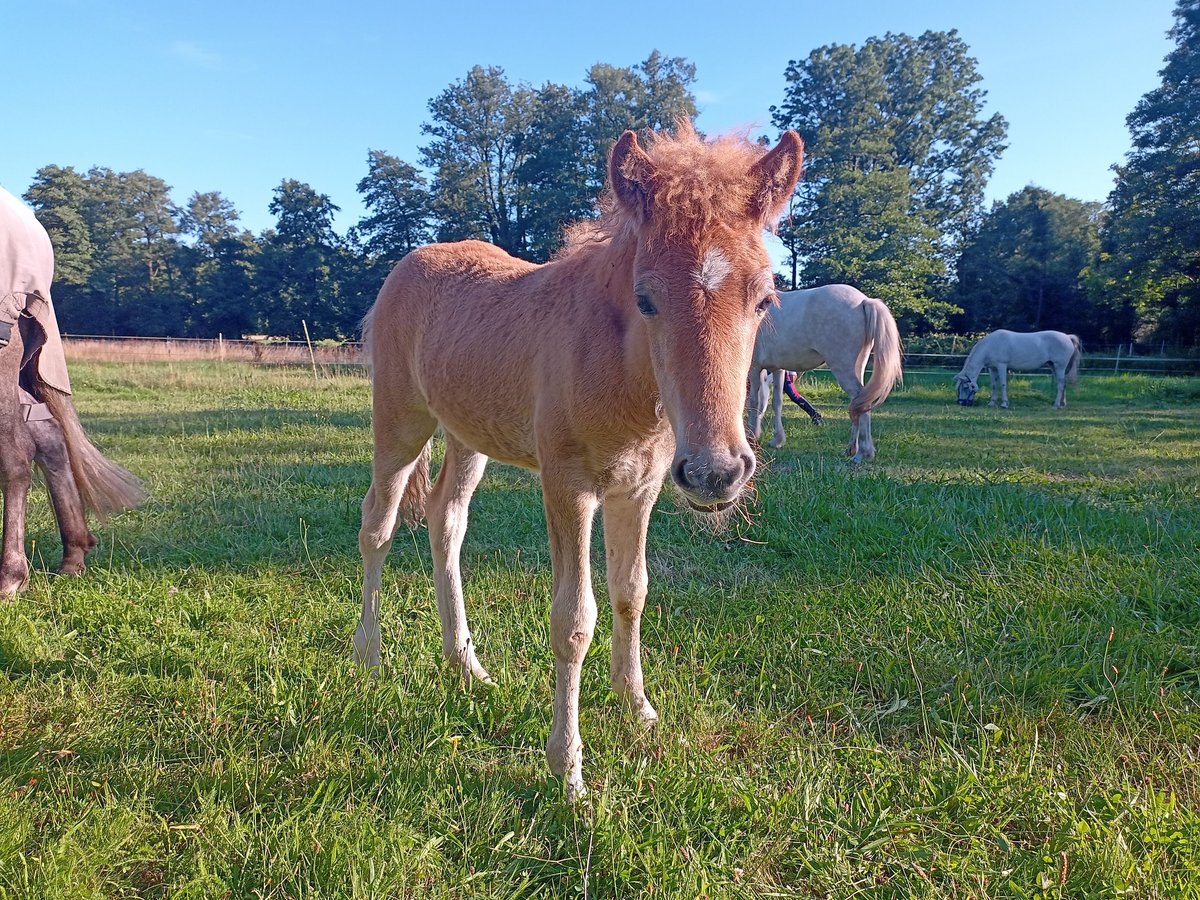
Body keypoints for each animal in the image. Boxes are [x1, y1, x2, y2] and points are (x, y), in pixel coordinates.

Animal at [355, 123, 806, 801]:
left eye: (765, 300)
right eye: (646, 298)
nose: (715, 473)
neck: (619, 368)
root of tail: (407, 264)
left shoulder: (638, 489)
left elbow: (631, 592)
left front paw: (639, 709)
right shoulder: (569, 488)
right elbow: (574, 619)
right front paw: (568, 772)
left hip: (469, 436)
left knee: (445, 520)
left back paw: (467, 665)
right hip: (401, 423)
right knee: (377, 525)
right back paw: (369, 657)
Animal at [744, 283, 902, 465]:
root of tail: (864, 301)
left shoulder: (754, 368)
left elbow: (754, 402)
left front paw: (752, 438)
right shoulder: (777, 369)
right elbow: (776, 403)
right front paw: (776, 440)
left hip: (843, 369)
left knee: (860, 401)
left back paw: (861, 454)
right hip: (857, 367)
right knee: (858, 401)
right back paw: (851, 449)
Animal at [955, 331, 1089, 412]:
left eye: (966, 387)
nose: (962, 403)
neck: (991, 345)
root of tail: (1067, 337)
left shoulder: (1001, 365)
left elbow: (1003, 384)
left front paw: (1004, 404)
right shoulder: (992, 368)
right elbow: (993, 385)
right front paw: (992, 403)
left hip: (1059, 366)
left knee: (1061, 384)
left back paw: (1056, 405)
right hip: (1053, 367)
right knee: (1063, 384)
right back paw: (1062, 404)